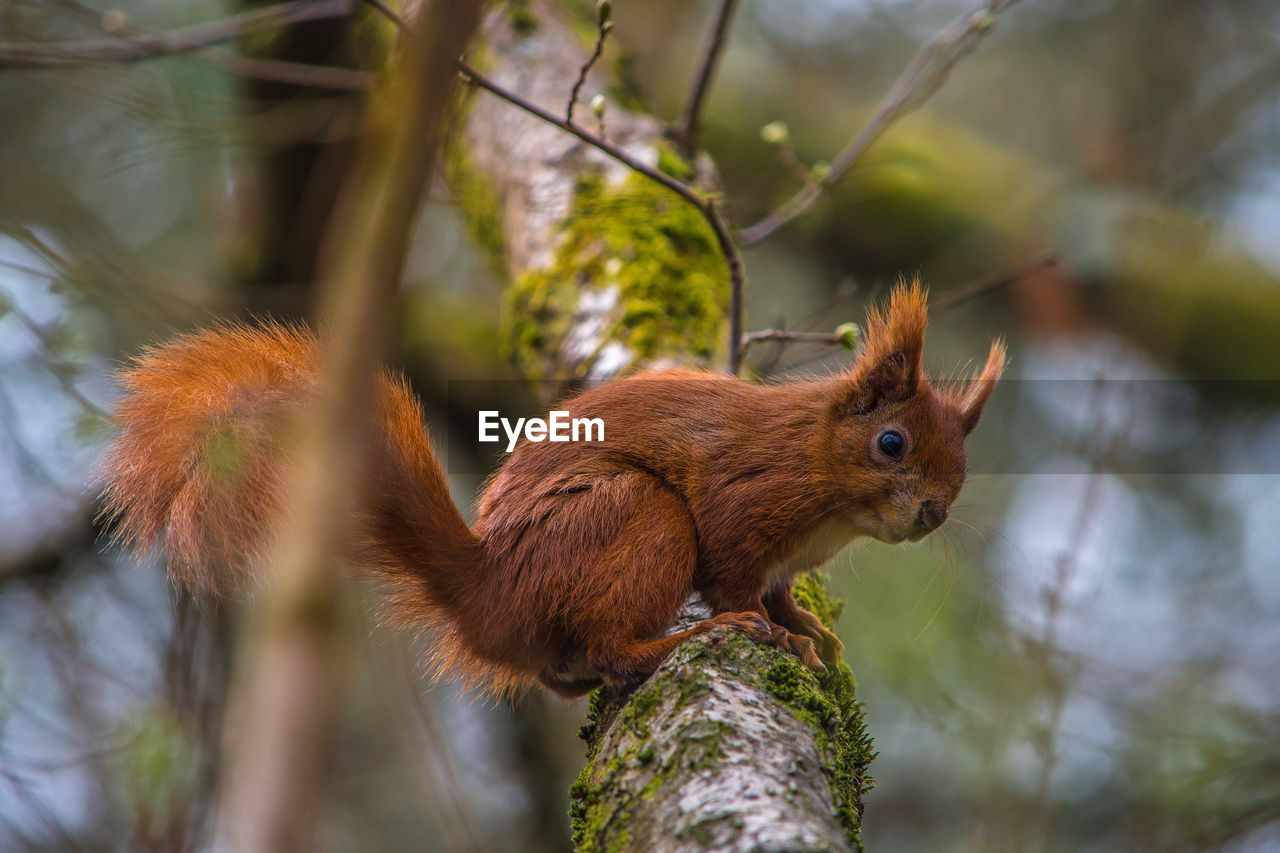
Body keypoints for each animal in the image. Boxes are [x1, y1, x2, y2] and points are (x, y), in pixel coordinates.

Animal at [102, 281, 998, 696]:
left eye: (962, 467)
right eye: (891, 444)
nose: (932, 513)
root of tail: (489, 592)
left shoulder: (788, 557)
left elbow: (782, 592)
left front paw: (810, 628)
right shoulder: (746, 505)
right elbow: (737, 578)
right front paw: (773, 631)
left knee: (569, 673)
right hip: (638, 517)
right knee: (610, 650)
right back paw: (687, 639)